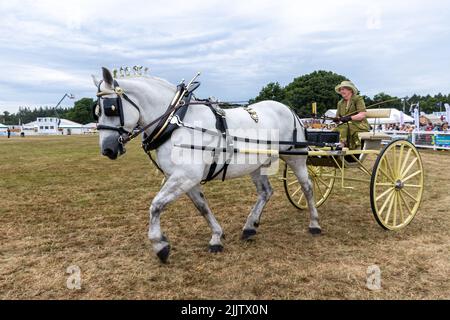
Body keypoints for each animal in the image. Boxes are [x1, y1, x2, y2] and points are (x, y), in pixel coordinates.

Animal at [92, 67, 320, 262]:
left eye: (110, 108)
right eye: (97, 111)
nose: (107, 149)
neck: (175, 123)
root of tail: (289, 109)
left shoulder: (185, 176)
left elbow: (156, 205)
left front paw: (160, 245)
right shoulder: (185, 179)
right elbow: (202, 207)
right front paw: (216, 237)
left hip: (295, 156)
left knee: (307, 186)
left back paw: (314, 224)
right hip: (256, 164)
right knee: (266, 192)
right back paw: (249, 227)